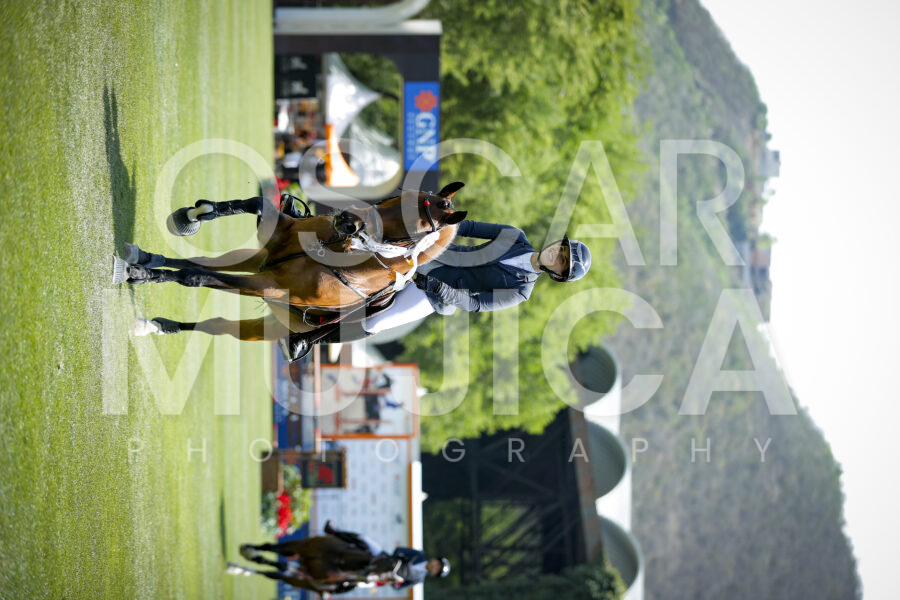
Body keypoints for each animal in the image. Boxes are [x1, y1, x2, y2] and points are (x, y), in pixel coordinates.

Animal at [114, 183, 467, 342]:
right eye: (399, 197)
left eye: (415, 228)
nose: (346, 221)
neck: (341, 251)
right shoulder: (277, 235)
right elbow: (254, 202)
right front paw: (193, 214)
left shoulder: (269, 285)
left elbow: (194, 278)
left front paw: (139, 275)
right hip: (257, 260)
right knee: (202, 262)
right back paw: (147, 267)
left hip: (268, 318)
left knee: (216, 317)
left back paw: (152, 314)